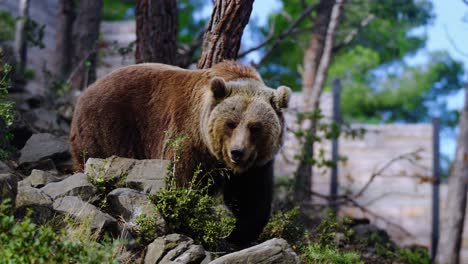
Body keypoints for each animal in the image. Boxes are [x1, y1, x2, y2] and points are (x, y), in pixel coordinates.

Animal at [70, 60, 290, 244]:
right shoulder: (189, 140)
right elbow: (183, 182)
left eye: (255, 127)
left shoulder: (256, 164)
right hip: (108, 126)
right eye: (231, 123)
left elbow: (251, 198)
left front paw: (239, 235)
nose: (237, 152)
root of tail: (87, 90)